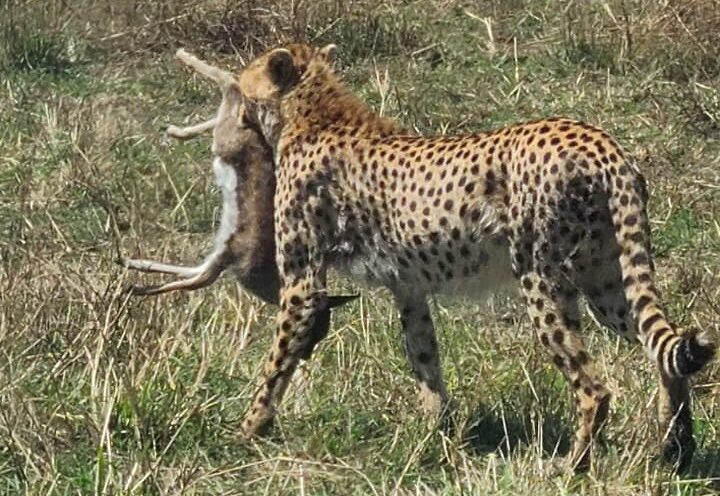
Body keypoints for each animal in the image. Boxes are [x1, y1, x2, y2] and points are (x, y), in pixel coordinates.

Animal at [234, 42, 714, 471]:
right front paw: (436, 433)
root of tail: (599, 141)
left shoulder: (302, 285)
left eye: (240, 88)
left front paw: (249, 428)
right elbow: (424, 357)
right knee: (666, 350)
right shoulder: (408, 286)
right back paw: (677, 450)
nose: (235, 111)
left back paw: (573, 466)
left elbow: (277, 361)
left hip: (543, 279)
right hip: (606, 282)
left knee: (594, 387)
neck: (314, 111)